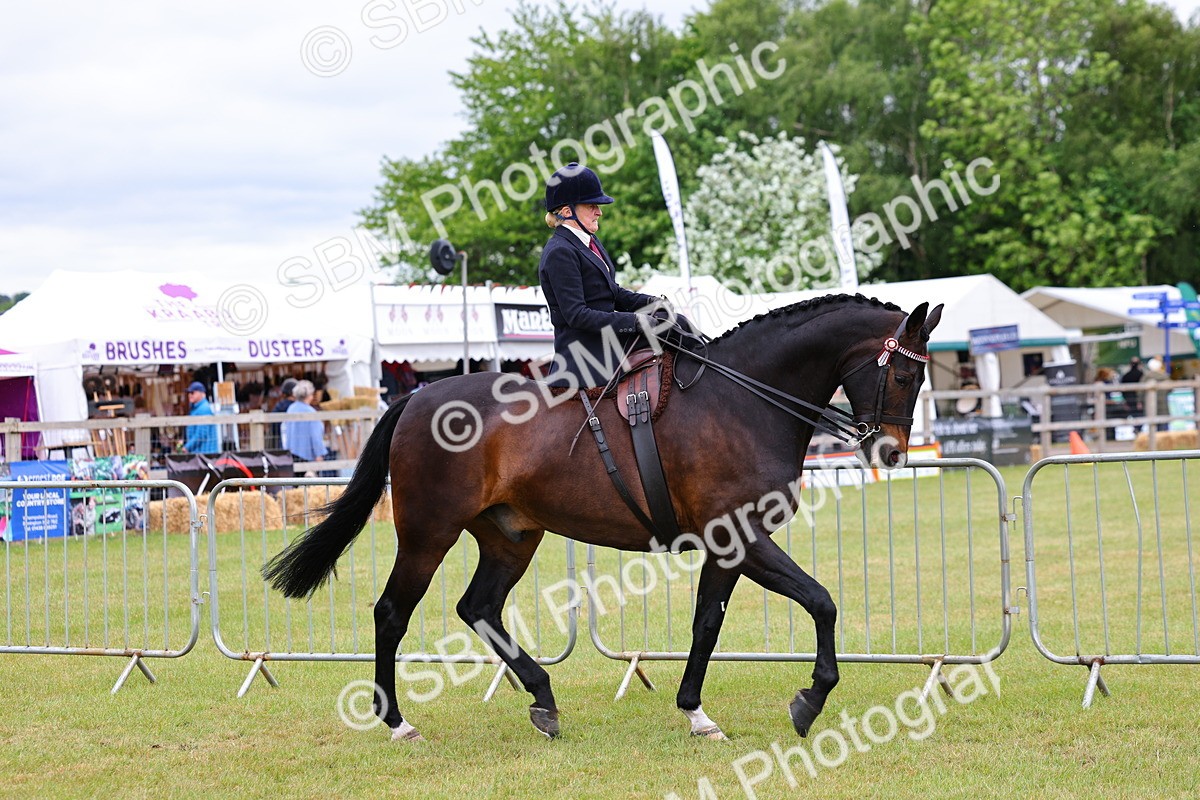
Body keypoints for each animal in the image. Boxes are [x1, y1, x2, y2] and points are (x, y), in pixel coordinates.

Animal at [263, 294, 943, 742]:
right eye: (905, 372)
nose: (891, 453)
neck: (742, 399)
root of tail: (416, 396)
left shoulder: (727, 547)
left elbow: (707, 623)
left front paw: (696, 711)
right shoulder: (743, 537)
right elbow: (822, 601)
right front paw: (809, 700)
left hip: (512, 536)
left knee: (478, 607)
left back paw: (542, 699)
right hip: (428, 535)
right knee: (392, 613)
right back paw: (397, 722)